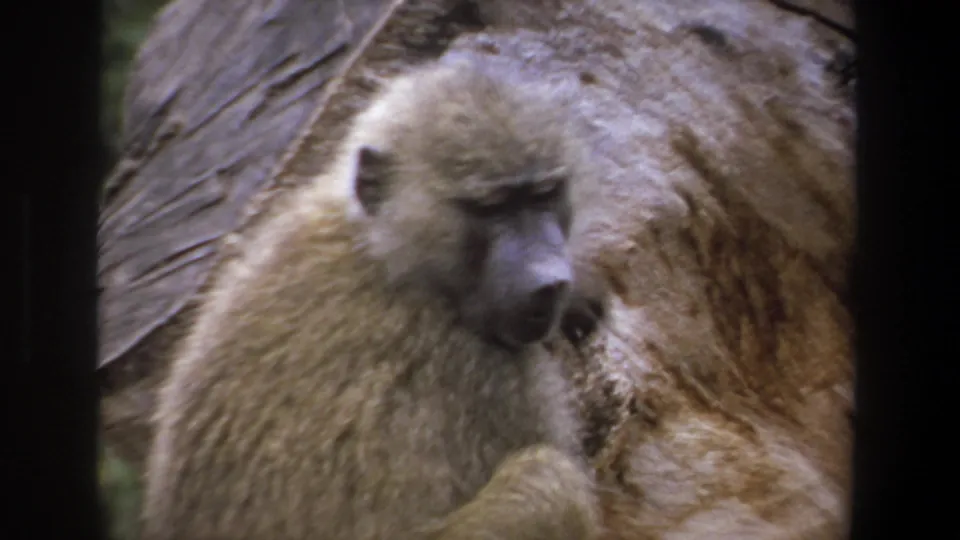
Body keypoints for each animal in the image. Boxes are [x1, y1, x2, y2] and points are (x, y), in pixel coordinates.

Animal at [141, 50, 609, 540]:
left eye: (543, 195)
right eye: (490, 207)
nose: (549, 283)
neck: (389, 253)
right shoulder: (496, 375)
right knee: (552, 485)